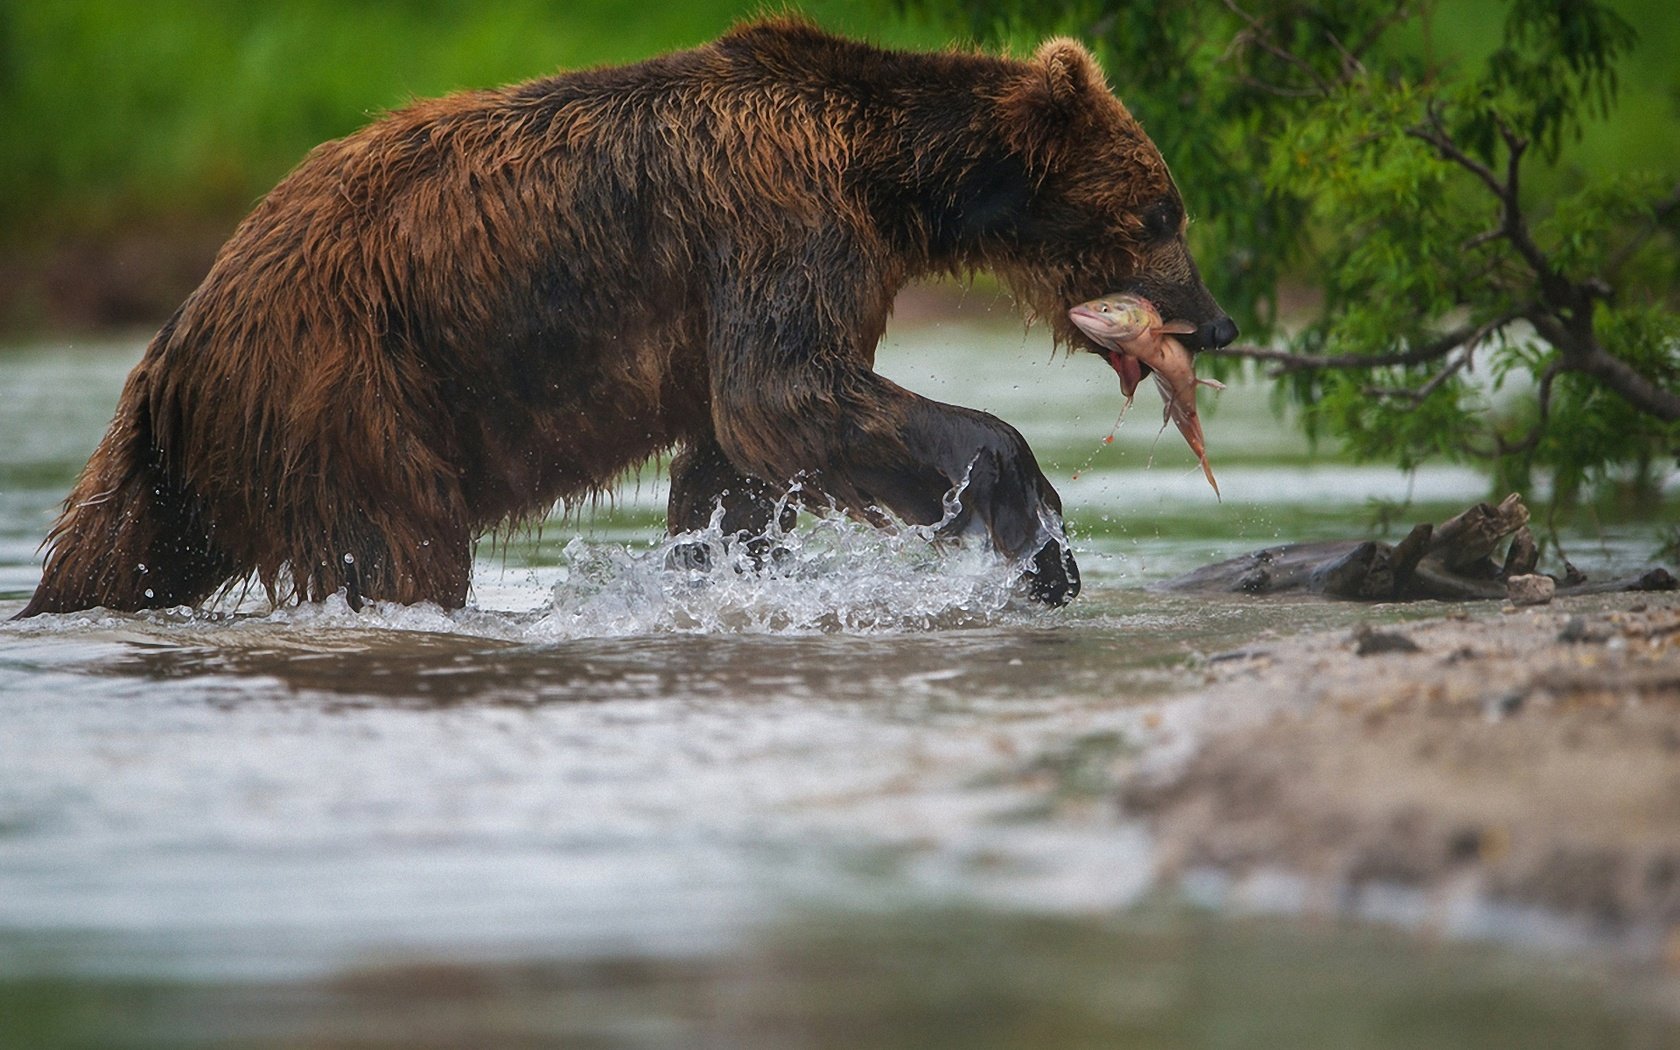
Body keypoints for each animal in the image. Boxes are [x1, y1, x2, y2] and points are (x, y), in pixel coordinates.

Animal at [19, 18, 1236, 614]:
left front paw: (714, 571)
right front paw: (1038, 539)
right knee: (401, 541)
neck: (893, 183)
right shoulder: (777, 225)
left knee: (115, 551)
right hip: (347, 387)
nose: (1216, 322)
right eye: (1162, 208)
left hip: (177, 463)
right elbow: (789, 394)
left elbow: (737, 466)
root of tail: (178, 339)